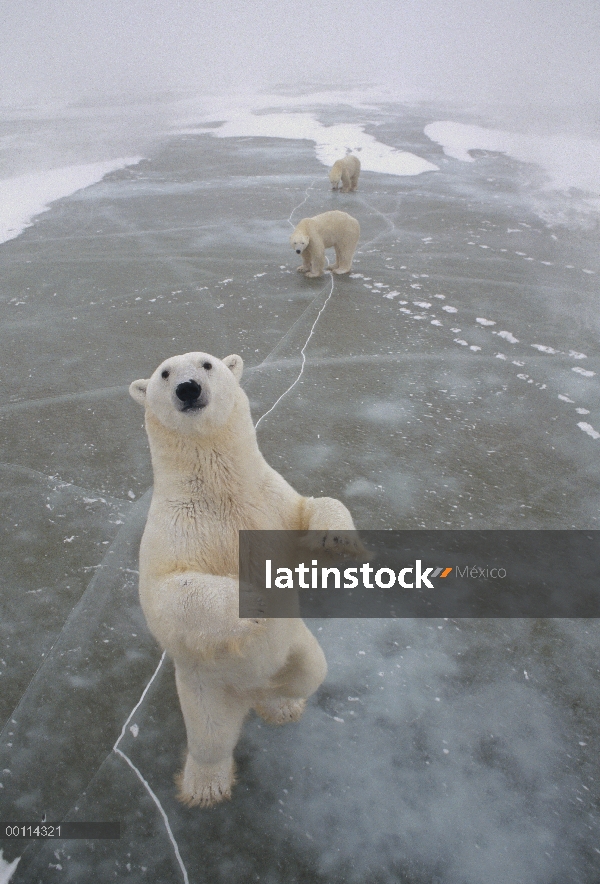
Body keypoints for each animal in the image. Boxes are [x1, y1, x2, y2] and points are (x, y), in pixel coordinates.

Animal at [129, 352, 358, 808]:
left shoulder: (272, 503)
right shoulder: (176, 528)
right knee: (210, 737)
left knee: (309, 672)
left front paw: (337, 541)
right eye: (165, 373)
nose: (188, 389)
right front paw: (254, 601)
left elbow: (312, 509)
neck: (221, 492)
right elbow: (169, 591)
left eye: (206, 364)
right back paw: (205, 787)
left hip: (296, 649)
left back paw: (281, 705)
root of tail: (249, 695)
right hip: (204, 689)